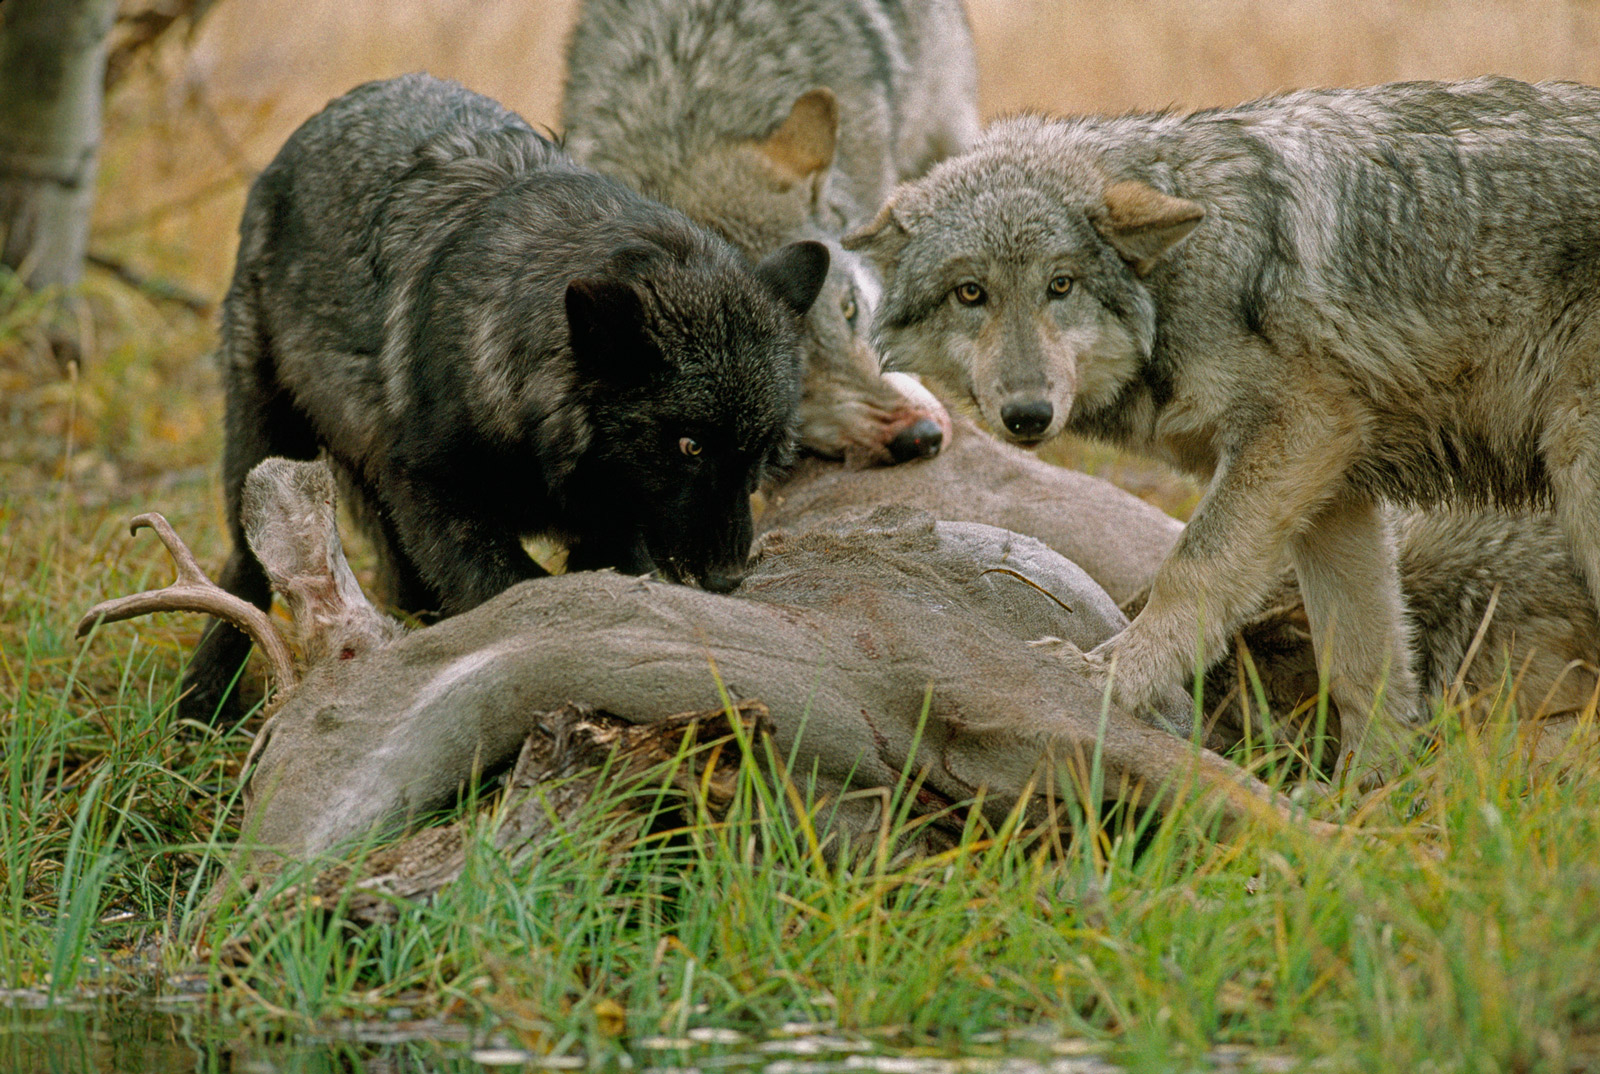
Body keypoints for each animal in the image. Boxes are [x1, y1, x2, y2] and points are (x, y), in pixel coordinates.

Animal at [851, 75, 1600, 765]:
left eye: (1060, 286)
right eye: (969, 294)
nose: (1027, 416)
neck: (1181, 275)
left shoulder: (1296, 436)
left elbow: (1190, 570)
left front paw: (1106, 679)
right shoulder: (1333, 488)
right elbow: (1362, 664)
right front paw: (1365, 800)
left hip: (1578, 473)